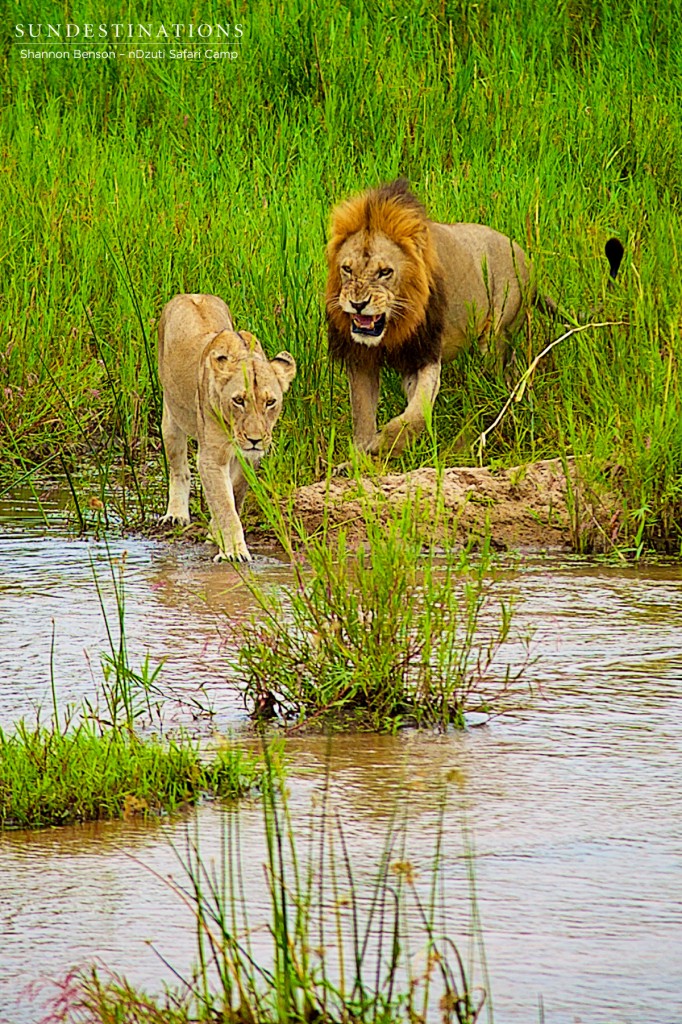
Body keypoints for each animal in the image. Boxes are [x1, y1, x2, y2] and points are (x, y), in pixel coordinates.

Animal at [159, 296, 296, 565]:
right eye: (239, 400)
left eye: (270, 402)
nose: (254, 440)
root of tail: (191, 293)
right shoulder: (212, 456)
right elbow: (224, 503)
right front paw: (234, 551)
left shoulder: (249, 458)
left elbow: (233, 494)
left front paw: (216, 534)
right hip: (171, 417)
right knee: (179, 469)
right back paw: (176, 515)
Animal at [323, 178, 532, 458]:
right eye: (347, 269)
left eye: (385, 272)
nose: (358, 304)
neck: (393, 327)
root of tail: (526, 257)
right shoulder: (361, 359)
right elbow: (363, 415)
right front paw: (360, 458)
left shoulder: (424, 354)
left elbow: (417, 413)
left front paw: (385, 444)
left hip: (497, 336)